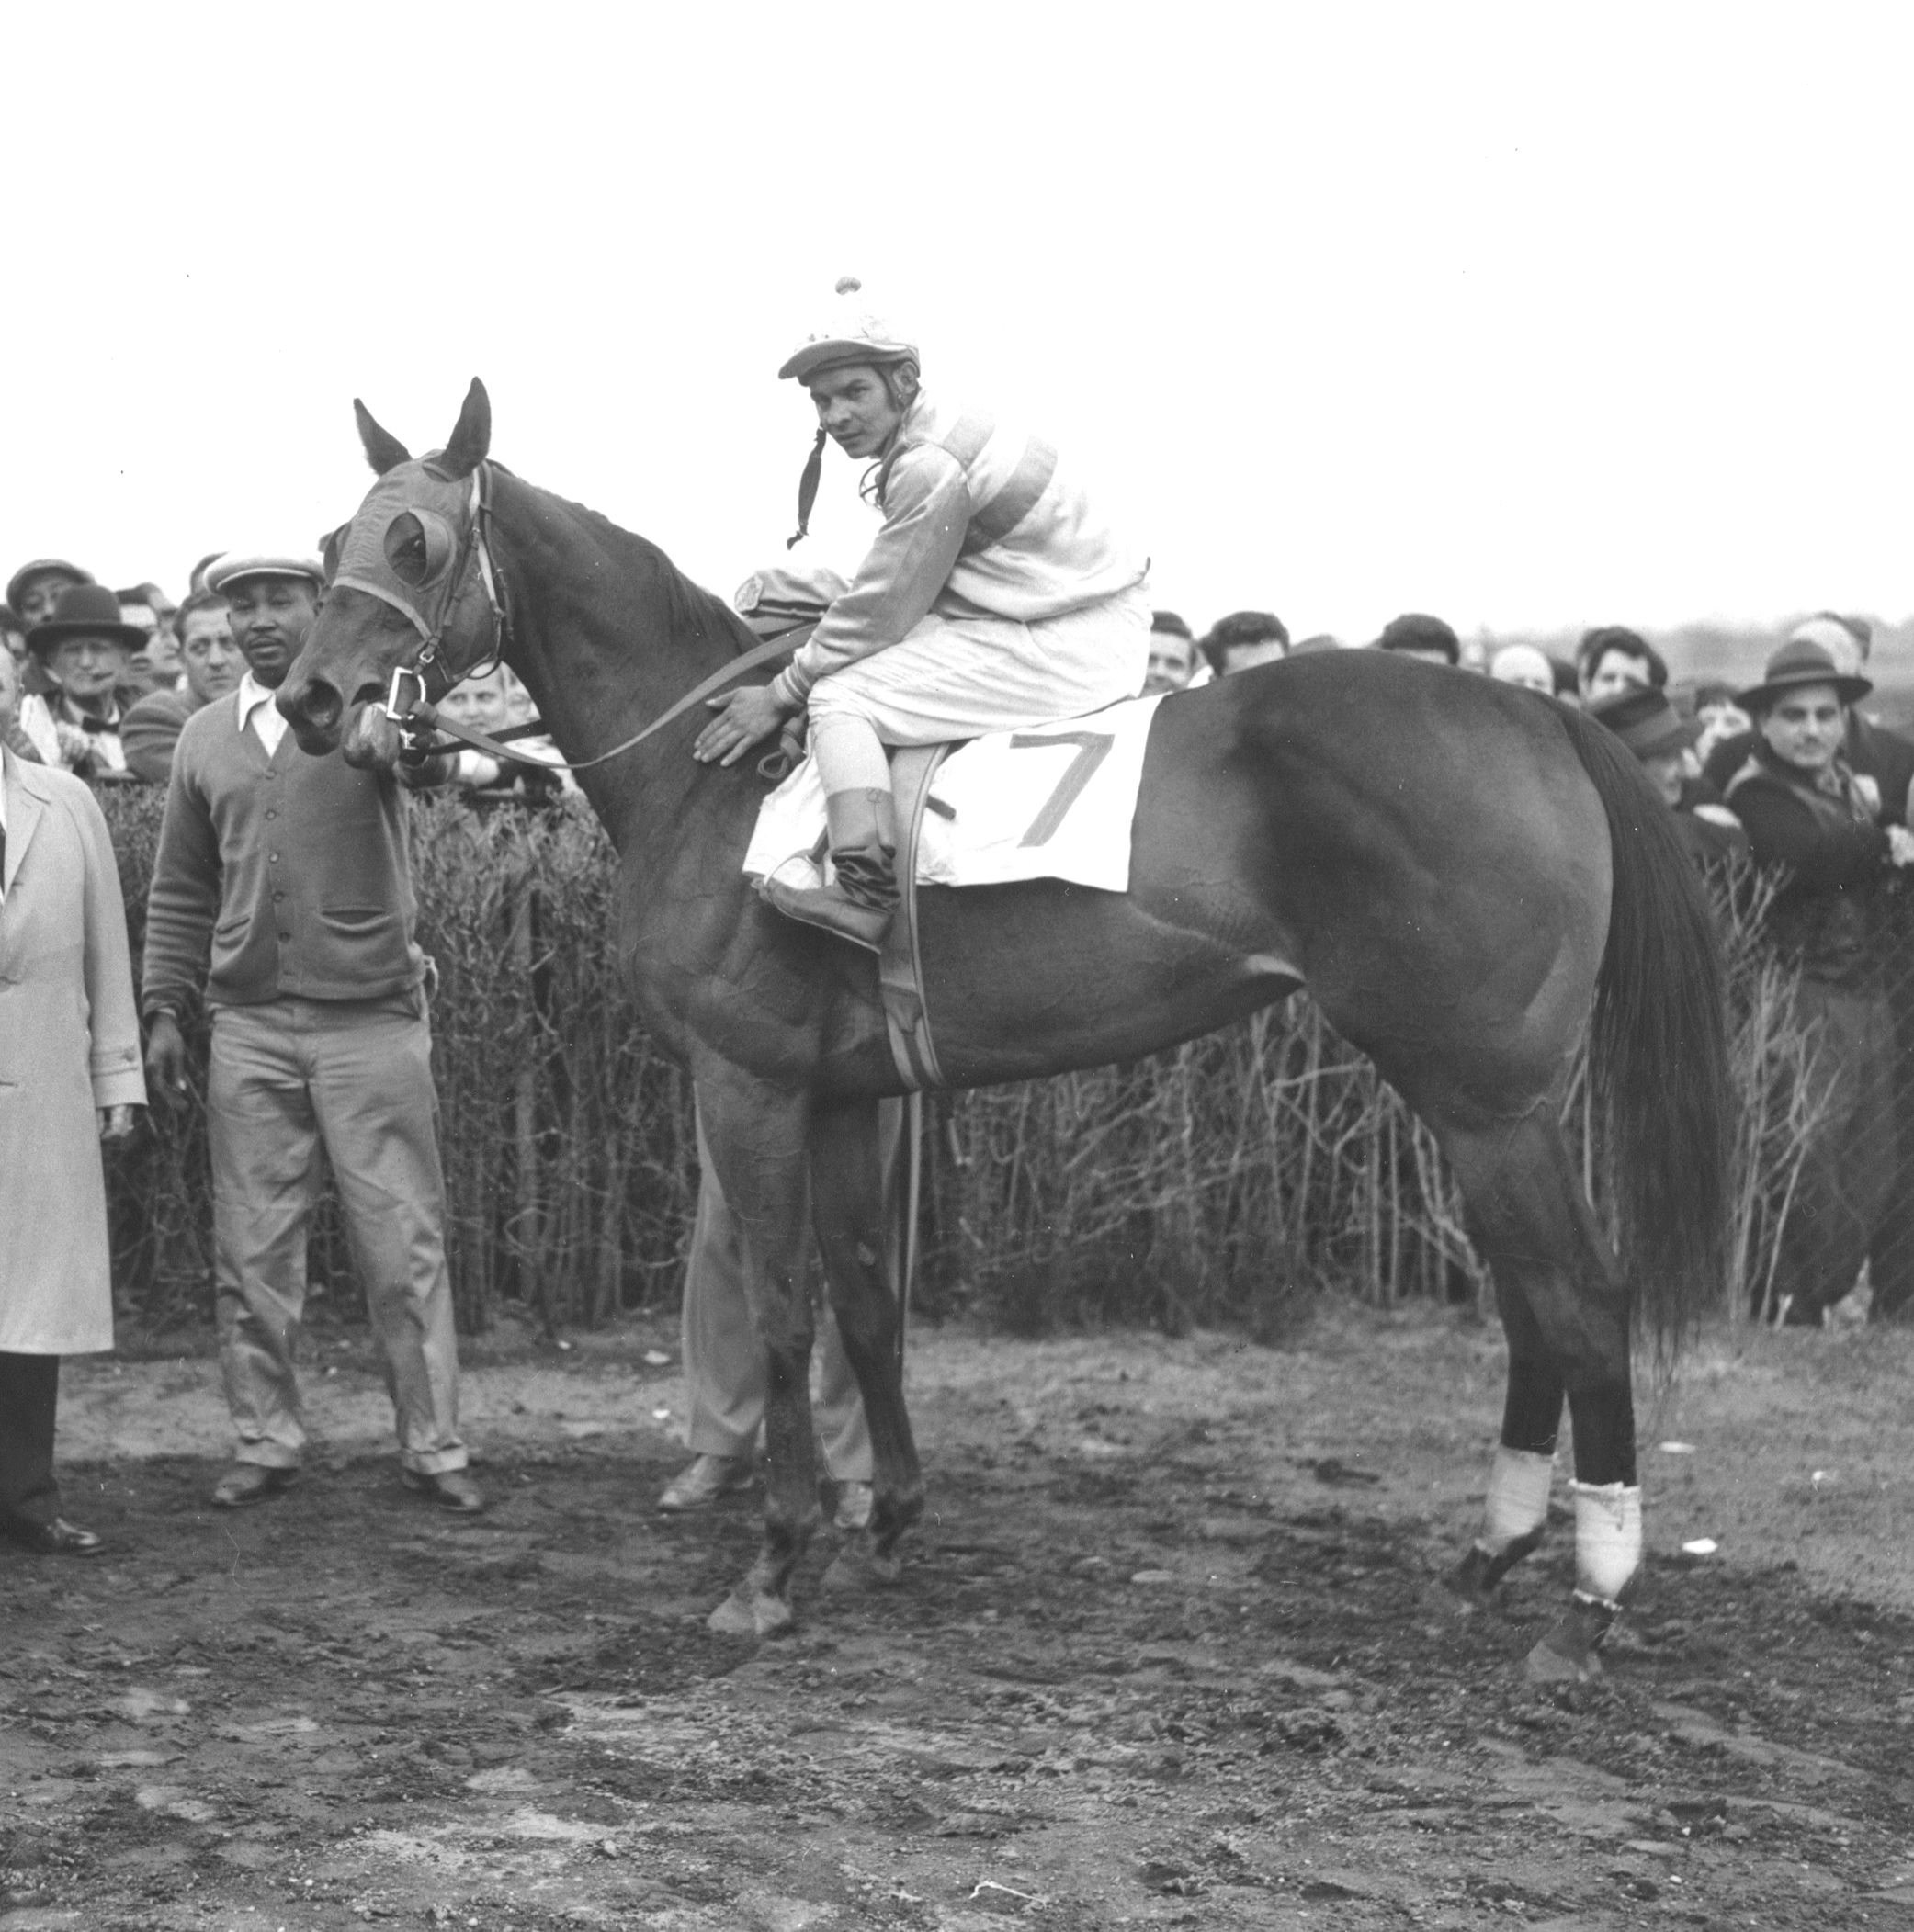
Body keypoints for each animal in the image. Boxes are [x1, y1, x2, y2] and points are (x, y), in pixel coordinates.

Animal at [280, 377, 1739, 1677]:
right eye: (330, 542)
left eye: (415, 543)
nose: (307, 700)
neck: (706, 772)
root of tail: (1538, 708)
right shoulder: (845, 1093)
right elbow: (868, 1301)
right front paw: (887, 1522)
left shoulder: (746, 1084)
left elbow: (783, 1314)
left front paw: (773, 1565)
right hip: (1470, 1096)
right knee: (1531, 1305)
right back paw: (1483, 1562)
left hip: (1489, 1096)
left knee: (1579, 1301)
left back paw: (1584, 1609)